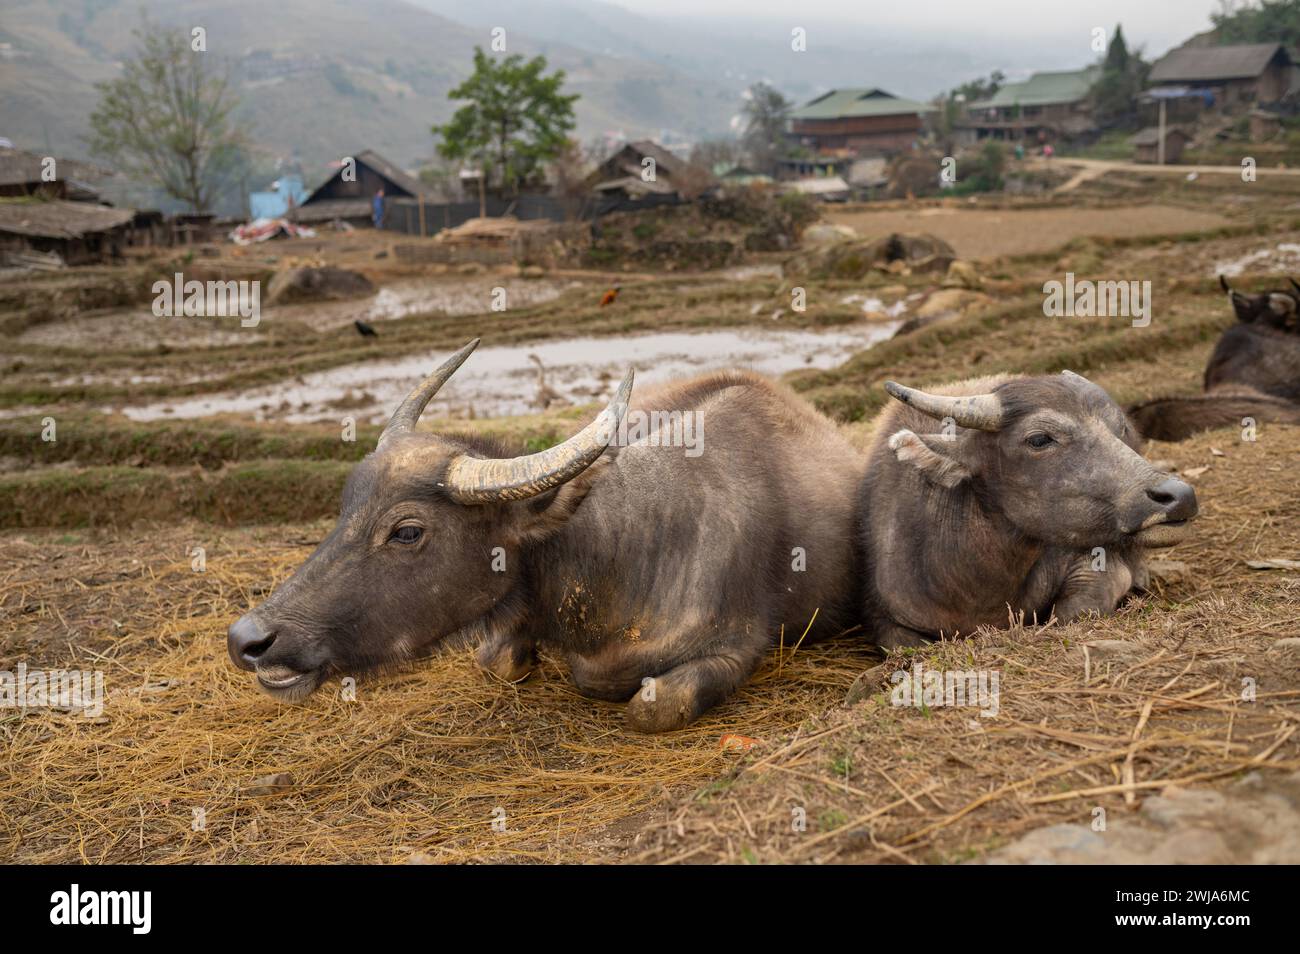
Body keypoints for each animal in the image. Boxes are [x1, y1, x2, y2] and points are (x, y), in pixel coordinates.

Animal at [227, 340, 864, 732]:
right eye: (344, 507)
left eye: (407, 531)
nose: (247, 639)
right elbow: (495, 661)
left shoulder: (739, 648)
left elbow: (650, 708)